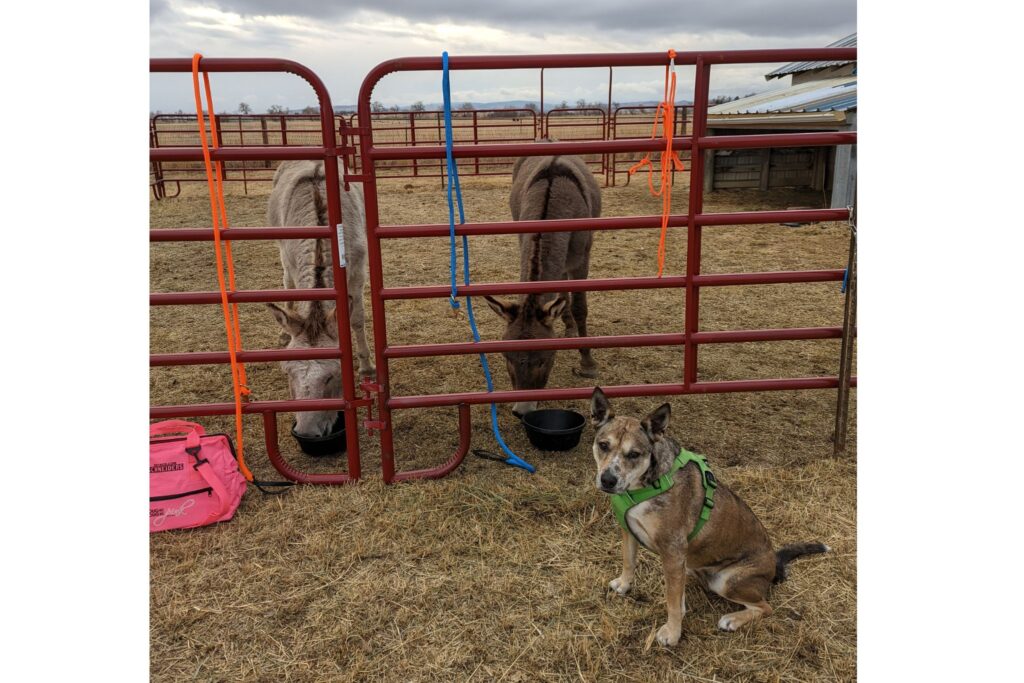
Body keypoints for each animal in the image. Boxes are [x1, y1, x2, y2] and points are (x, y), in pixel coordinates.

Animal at [589, 389, 827, 647]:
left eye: (634, 454)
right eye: (603, 445)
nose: (608, 480)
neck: (645, 484)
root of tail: (774, 565)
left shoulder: (672, 550)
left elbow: (671, 600)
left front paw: (672, 633)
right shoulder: (629, 531)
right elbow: (629, 561)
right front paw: (624, 585)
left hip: (728, 580)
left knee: (765, 607)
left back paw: (733, 619)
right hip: (692, 565)